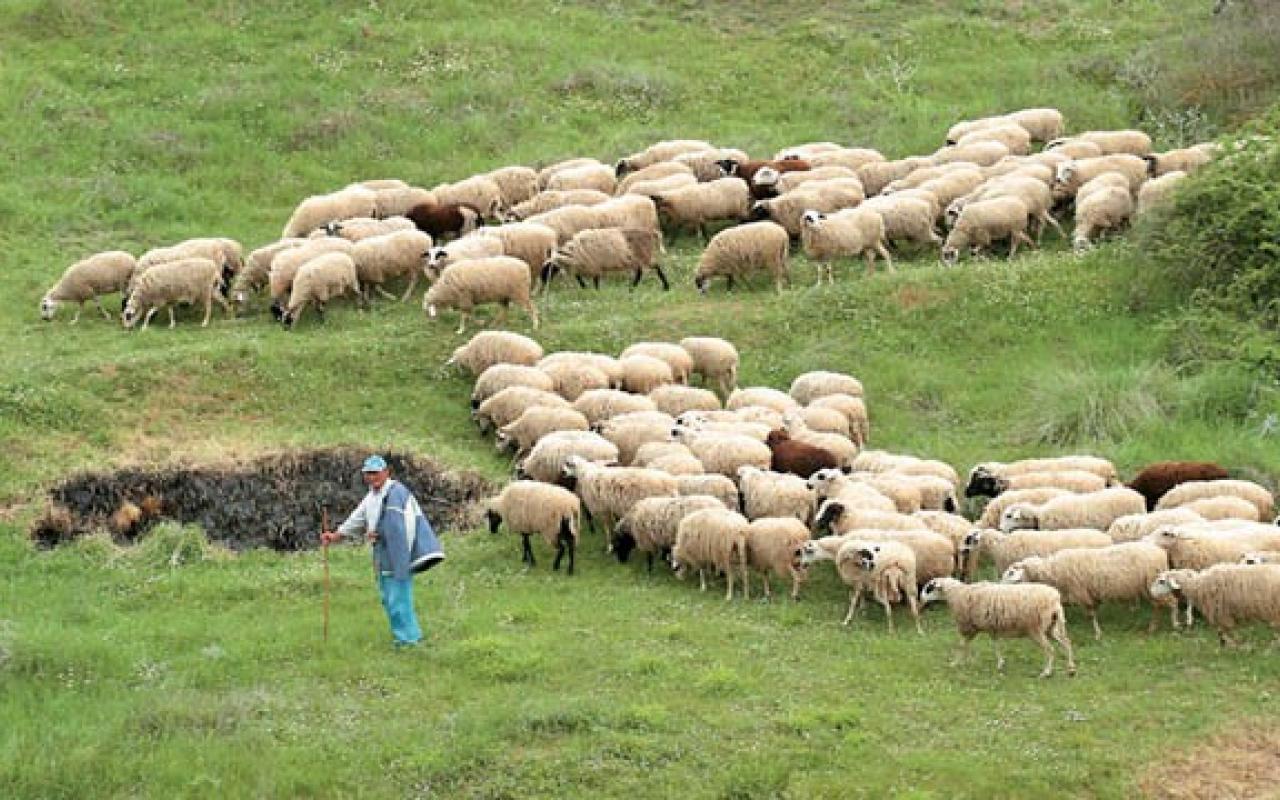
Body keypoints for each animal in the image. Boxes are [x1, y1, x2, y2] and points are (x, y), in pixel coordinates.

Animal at [540, 227, 670, 290]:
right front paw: (584, 287)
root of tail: (651, 233)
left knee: (656, 266)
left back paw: (666, 286)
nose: (543, 282)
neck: (574, 251)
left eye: (548, 269)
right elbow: (578, 276)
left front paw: (596, 291)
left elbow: (595, 280)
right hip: (636, 258)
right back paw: (632, 288)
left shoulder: (593, 264)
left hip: (644, 255)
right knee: (640, 272)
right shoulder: (585, 265)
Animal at [916, 576, 1075, 675]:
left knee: (1050, 649)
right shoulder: (992, 627)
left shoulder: (969, 627)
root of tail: (1055, 598)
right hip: (1052, 627)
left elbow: (961, 645)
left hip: (1036, 629)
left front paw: (955, 663)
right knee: (1067, 643)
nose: (920, 600)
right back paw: (1071, 669)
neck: (956, 594)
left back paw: (1046, 672)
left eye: (928, 588)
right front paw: (1000, 663)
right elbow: (996, 644)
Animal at [1003, 540, 1172, 640]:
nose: (1001, 585)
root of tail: (1160, 552)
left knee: (1163, 604)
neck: (1053, 571)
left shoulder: (1081, 593)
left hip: (1152, 585)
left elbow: (1091, 614)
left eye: (1011, 573)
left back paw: (1158, 626)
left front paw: (1097, 633)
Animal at [1152, 565, 1280, 645]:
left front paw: (1232, 644)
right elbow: (1223, 631)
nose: (1151, 591)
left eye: (1161, 581)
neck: (1199, 585)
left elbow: (1224, 630)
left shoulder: (1221, 612)